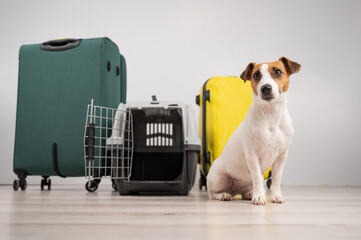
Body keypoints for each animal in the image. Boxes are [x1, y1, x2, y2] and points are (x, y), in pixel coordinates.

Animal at [207, 57, 300, 205]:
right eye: (256, 75)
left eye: (278, 72)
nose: (265, 88)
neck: (270, 116)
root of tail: (235, 191)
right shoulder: (252, 155)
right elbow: (257, 177)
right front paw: (259, 197)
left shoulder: (281, 156)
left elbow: (276, 178)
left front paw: (276, 195)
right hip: (217, 178)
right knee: (212, 193)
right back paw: (223, 194)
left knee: (247, 189)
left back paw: (249, 193)